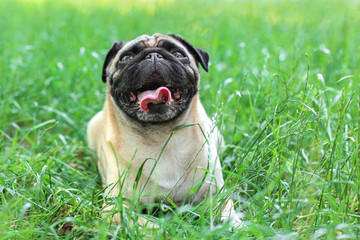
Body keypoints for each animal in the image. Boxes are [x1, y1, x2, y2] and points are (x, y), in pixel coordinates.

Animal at [87, 32, 243, 228]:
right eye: (126, 58)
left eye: (178, 54)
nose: (153, 55)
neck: (162, 137)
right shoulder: (116, 207)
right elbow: (145, 224)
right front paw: (165, 230)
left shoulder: (215, 195)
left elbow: (228, 215)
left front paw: (238, 226)